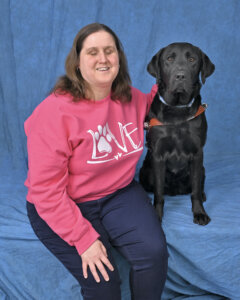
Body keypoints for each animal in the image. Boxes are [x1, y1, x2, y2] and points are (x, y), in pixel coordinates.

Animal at [140, 42, 215, 225]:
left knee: (198, 186)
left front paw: (199, 212)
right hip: (145, 172)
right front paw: (156, 215)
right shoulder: (158, 155)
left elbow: (195, 190)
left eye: (192, 59)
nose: (180, 76)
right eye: (169, 59)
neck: (177, 110)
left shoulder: (197, 154)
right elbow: (159, 193)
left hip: (202, 169)